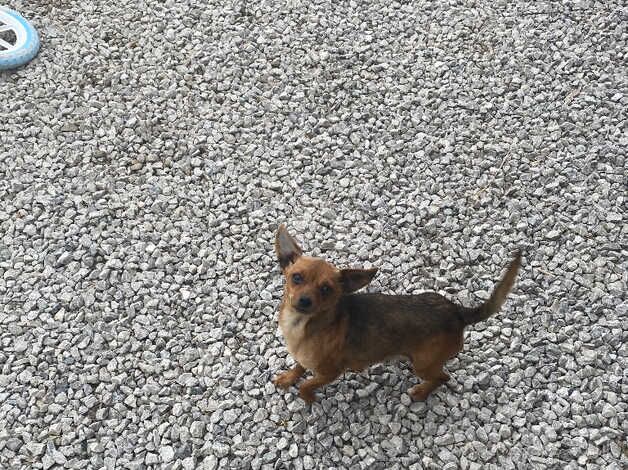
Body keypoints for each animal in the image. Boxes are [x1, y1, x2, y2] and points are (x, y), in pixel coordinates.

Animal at [272, 225, 524, 404]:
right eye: (296, 277)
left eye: (326, 289)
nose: (304, 300)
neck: (301, 325)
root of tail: (457, 312)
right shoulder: (304, 358)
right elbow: (299, 367)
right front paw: (289, 378)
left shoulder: (329, 373)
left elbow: (307, 384)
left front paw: (308, 398)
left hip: (423, 365)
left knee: (443, 378)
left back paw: (421, 393)